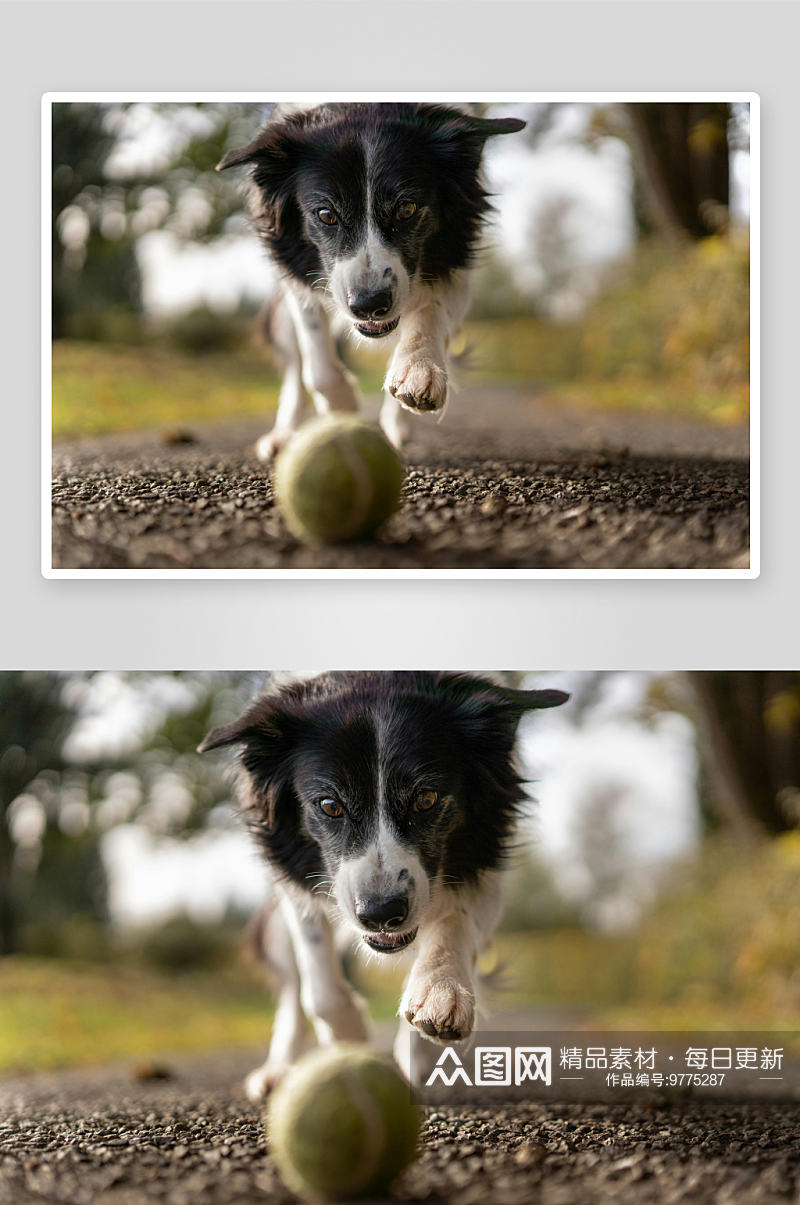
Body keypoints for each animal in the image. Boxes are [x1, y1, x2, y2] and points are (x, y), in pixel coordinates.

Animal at [196, 674, 566, 1098]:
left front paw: (438, 998)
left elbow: (455, 921)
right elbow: (318, 985)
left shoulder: (486, 862)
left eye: (426, 798)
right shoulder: (295, 879)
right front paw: (349, 1038)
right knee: (292, 989)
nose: (381, 915)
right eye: (329, 806)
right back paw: (279, 1069)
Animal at [215, 103, 525, 457]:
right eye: (326, 215)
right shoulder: (298, 277)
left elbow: (430, 312)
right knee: (294, 369)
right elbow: (316, 365)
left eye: (406, 209)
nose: (369, 306)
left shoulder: (456, 263)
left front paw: (418, 369)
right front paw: (343, 407)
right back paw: (283, 435)